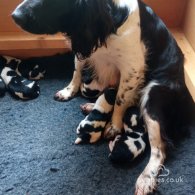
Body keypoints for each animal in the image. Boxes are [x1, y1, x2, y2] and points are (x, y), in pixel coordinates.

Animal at [12, 0, 195, 194]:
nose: (15, 16)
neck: (107, 22)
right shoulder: (83, 44)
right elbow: (77, 71)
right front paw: (68, 91)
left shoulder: (132, 68)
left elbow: (120, 100)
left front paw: (114, 125)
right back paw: (91, 106)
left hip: (153, 95)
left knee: (160, 148)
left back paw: (146, 178)